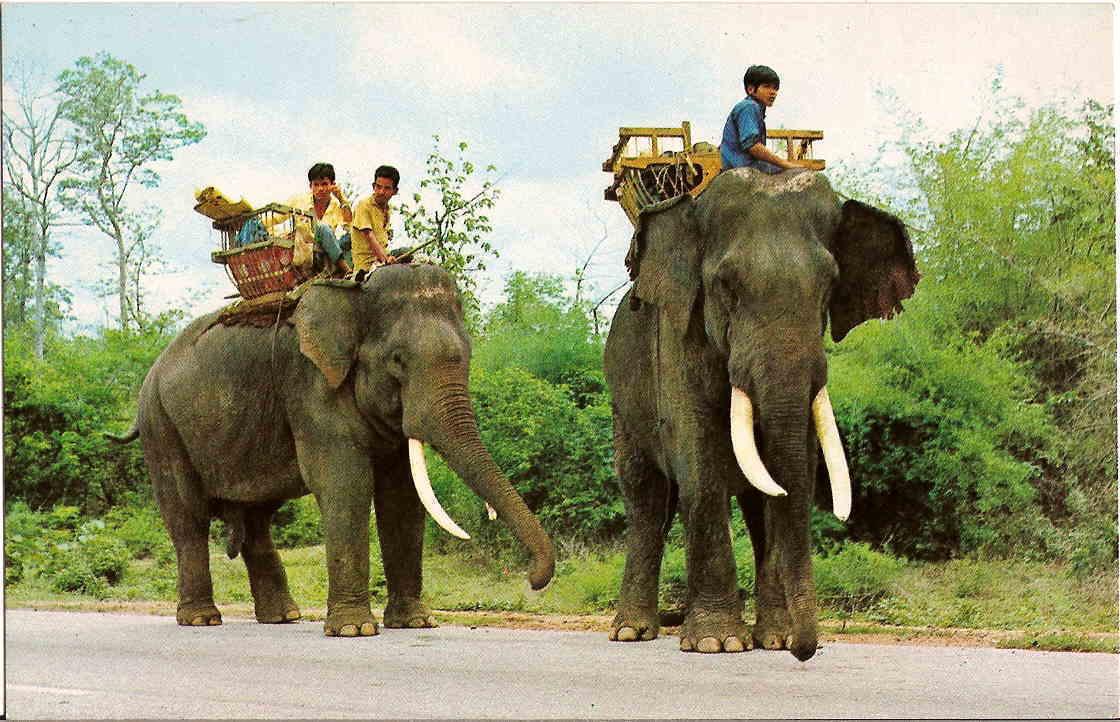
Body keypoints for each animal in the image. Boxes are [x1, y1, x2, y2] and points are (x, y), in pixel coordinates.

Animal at [109, 261, 555, 635]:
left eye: (467, 355)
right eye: (398, 360)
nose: (532, 580)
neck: (354, 296)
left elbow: (402, 496)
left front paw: (415, 623)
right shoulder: (309, 379)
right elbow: (345, 482)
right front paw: (354, 630)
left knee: (255, 520)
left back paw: (282, 617)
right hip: (161, 425)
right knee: (188, 518)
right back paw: (202, 619)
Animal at [604, 167, 918, 658]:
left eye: (829, 286)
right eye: (726, 285)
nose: (805, 651)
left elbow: (791, 475)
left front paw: (775, 639)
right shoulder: (678, 342)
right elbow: (700, 469)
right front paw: (717, 642)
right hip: (623, 401)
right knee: (646, 498)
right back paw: (631, 632)